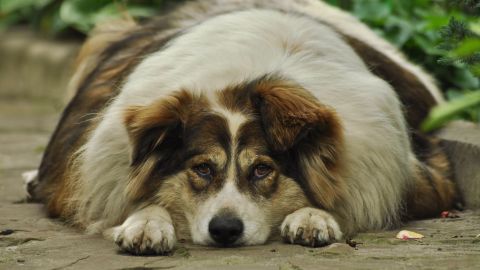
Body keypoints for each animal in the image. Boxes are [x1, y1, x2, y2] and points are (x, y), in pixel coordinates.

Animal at [28, 0, 460, 254]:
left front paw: (313, 216)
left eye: (263, 170)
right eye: (202, 169)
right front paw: (146, 222)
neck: (247, 80)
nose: (224, 230)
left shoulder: (424, 181)